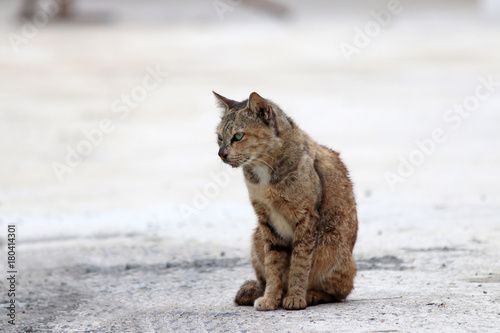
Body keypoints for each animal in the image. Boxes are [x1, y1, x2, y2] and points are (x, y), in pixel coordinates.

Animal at [213, 91, 358, 308]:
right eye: (219, 137)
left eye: (238, 136)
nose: (221, 154)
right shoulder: (266, 221)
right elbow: (273, 265)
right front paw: (272, 297)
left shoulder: (305, 217)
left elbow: (299, 262)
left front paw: (296, 296)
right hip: (256, 240)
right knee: (262, 279)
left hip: (331, 247)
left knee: (339, 292)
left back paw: (311, 295)